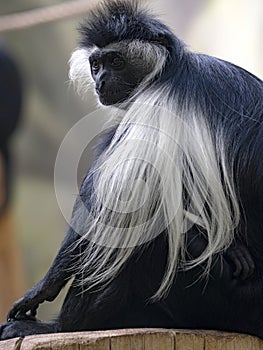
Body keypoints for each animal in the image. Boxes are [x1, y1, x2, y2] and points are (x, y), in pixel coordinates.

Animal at [0, 0, 263, 340]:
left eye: (116, 61)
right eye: (96, 64)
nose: (100, 81)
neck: (168, 68)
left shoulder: (157, 106)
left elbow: (118, 207)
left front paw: (42, 289)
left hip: (222, 292)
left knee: (143, 233)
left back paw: (60, 326)